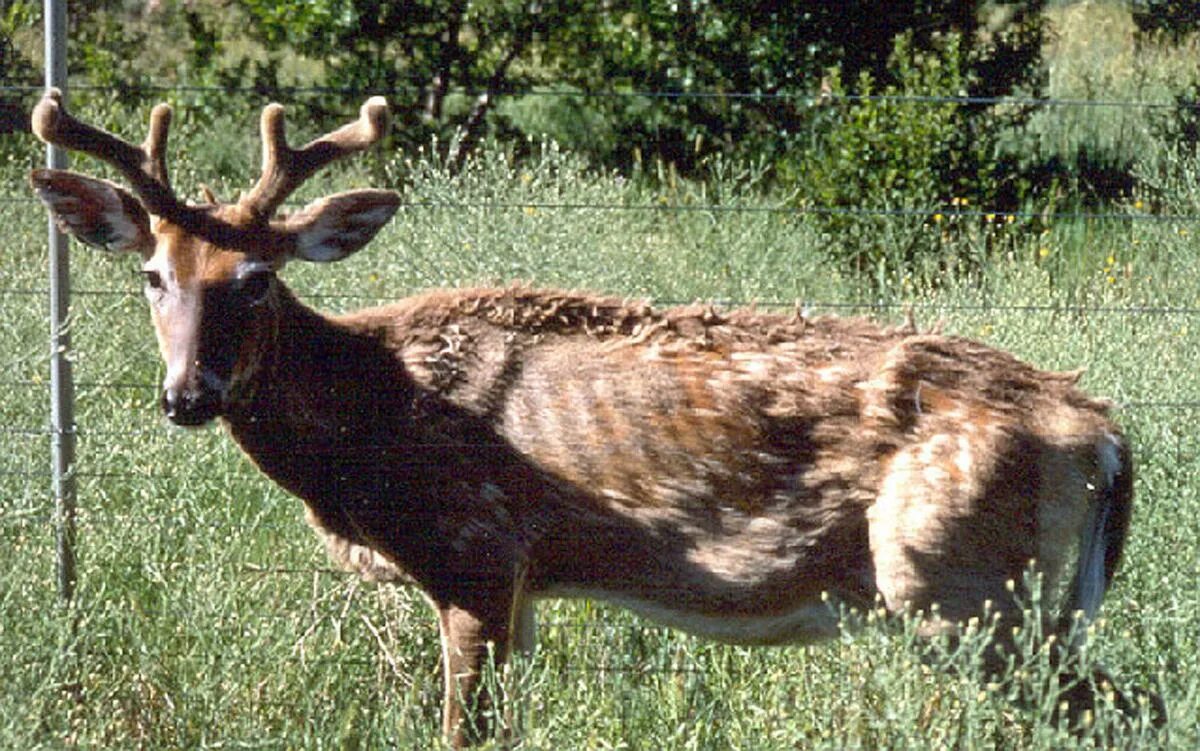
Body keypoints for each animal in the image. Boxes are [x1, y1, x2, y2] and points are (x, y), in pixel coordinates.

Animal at [28, 89, 1161, 743]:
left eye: (256, 279)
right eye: (152, 274)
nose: (188, 395)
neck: (374, 417)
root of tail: (1105, 433)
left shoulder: (477, 557)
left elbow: (465, 733)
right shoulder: (524, 588)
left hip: (960, 583)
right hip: (1024, 603)